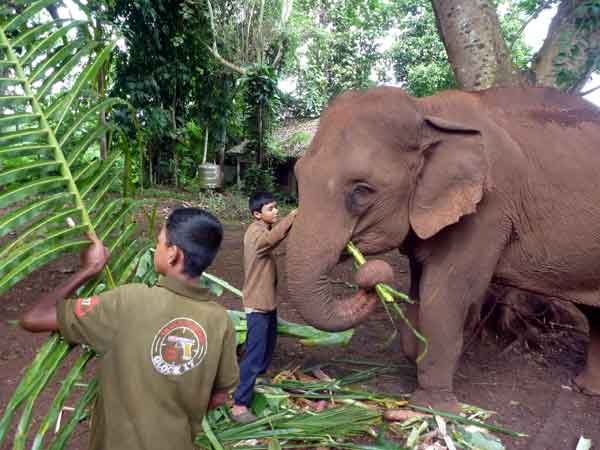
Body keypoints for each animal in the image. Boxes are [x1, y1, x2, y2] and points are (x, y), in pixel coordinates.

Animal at [284, 86, 600, 414]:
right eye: (298, 175)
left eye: (362, 190)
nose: (371, 282)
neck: (427, 111)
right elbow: (419, 289)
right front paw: (415, 356)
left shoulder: (487, 210)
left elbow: (447, 293)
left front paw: (434, 407)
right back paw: (586, 389)